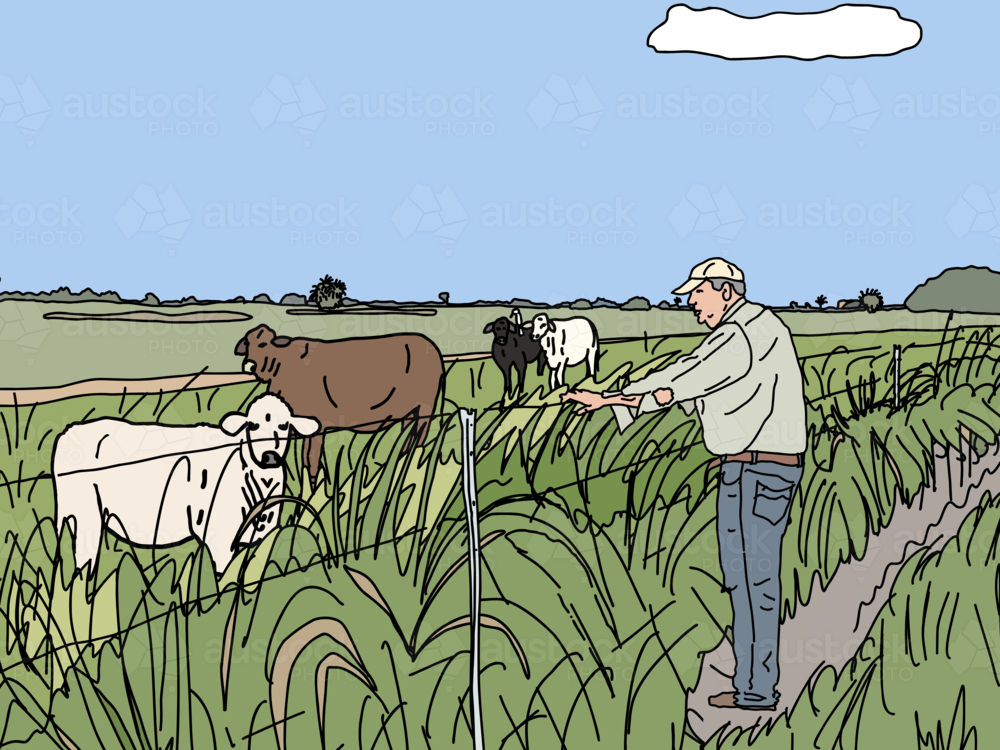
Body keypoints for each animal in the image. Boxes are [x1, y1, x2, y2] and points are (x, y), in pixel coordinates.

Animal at [51, 394, 320, 576]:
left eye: (284, 426)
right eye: (252, 425)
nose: (269, 456)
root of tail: (70, 431)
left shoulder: (260, 537)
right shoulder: (219, 537)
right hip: (85, 515)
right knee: (84, 561)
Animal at [235, 328, 446, 482]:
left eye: (263, 344)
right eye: (247, 344)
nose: (249, 365)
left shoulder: (318, 425)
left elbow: (312, 460)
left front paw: (312, 489)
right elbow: (305, 459)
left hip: (425, 408)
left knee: (420, 436)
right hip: (409, 412)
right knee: (406, 436)